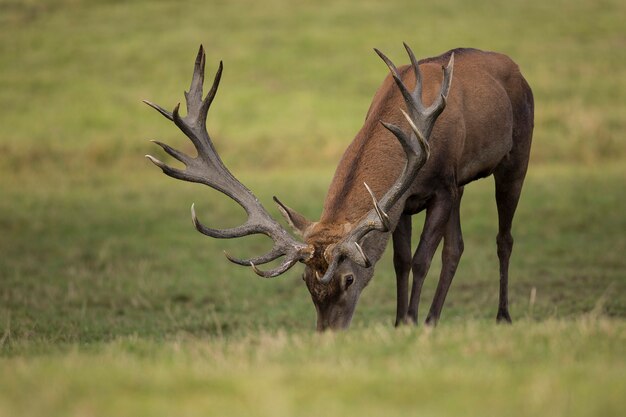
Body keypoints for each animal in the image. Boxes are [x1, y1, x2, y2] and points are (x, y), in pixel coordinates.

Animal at [145, 42, 532, 330]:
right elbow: (402, 260)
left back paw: (502, 316)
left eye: (348, 279)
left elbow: (422, 259)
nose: (326, 335)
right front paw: (400, 324)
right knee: (457, 246)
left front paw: (410, 321)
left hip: (516, 156)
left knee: (504, 238)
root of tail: (515, 66)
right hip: (463, 185)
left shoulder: (442, 186)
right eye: (306, 281)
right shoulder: (400, 203)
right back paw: (433, 320)